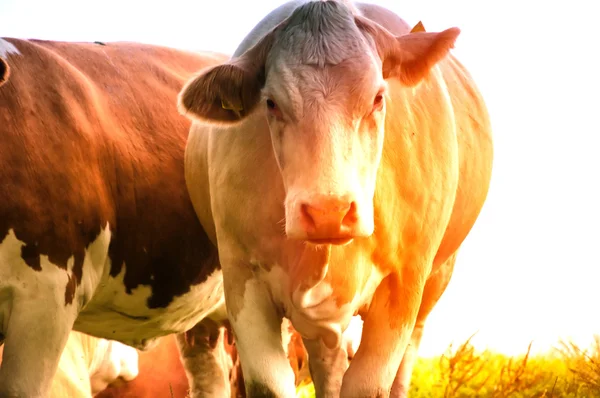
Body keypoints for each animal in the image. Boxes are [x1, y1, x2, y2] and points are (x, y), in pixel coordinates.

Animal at [177, 0, 492, 396]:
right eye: (271, 103)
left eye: (378, 98)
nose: (329, 211)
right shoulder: (241, 278)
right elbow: (270, 384)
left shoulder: (404, 283)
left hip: (433, 283)